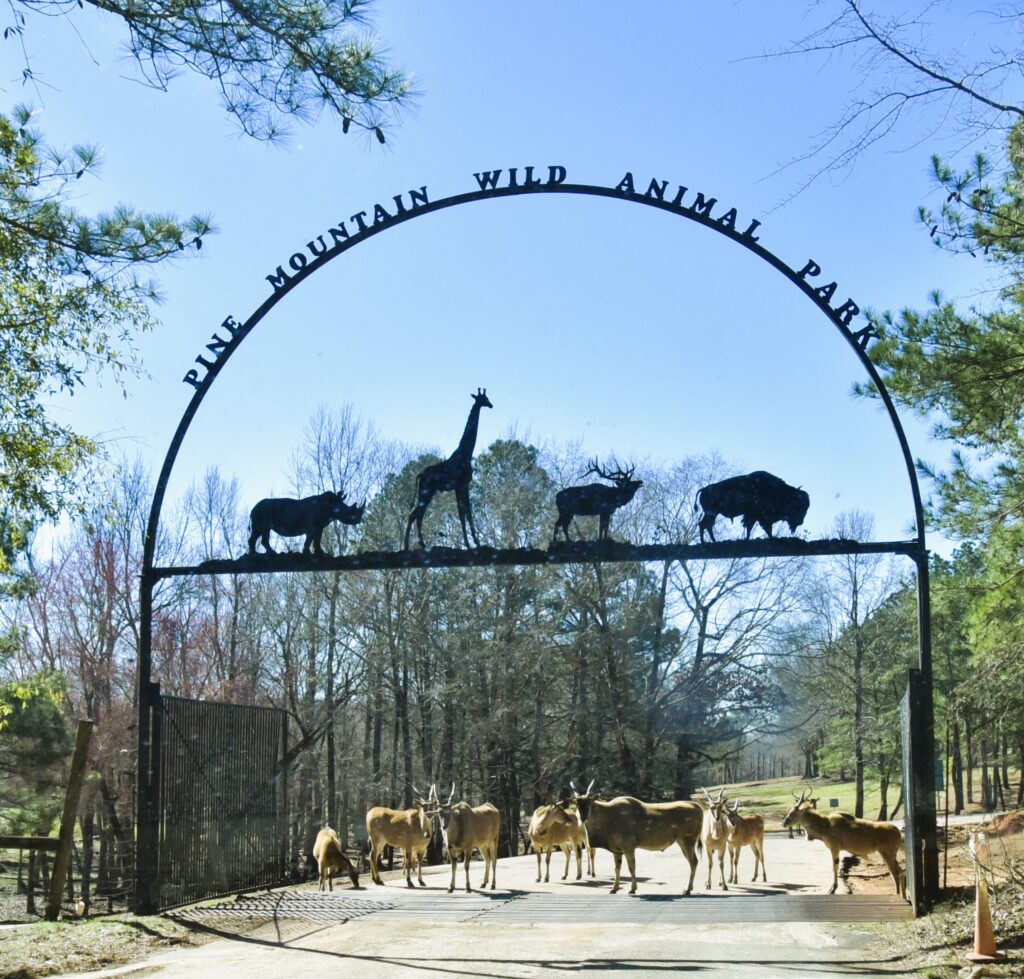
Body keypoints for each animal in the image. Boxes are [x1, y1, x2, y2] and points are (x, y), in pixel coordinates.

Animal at [569, 778, 704, 892]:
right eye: (577, 803)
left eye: (589, 802)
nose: (582, 818)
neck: (609, 815)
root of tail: (698, 807)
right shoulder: (617, 850)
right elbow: (617, 868)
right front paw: (614, 889)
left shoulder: (628, 846)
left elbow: (631, 867)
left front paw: (633, 889)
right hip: (681, 841)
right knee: (693, 861)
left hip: (688, 840)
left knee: (694, 862)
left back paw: (687, 889)